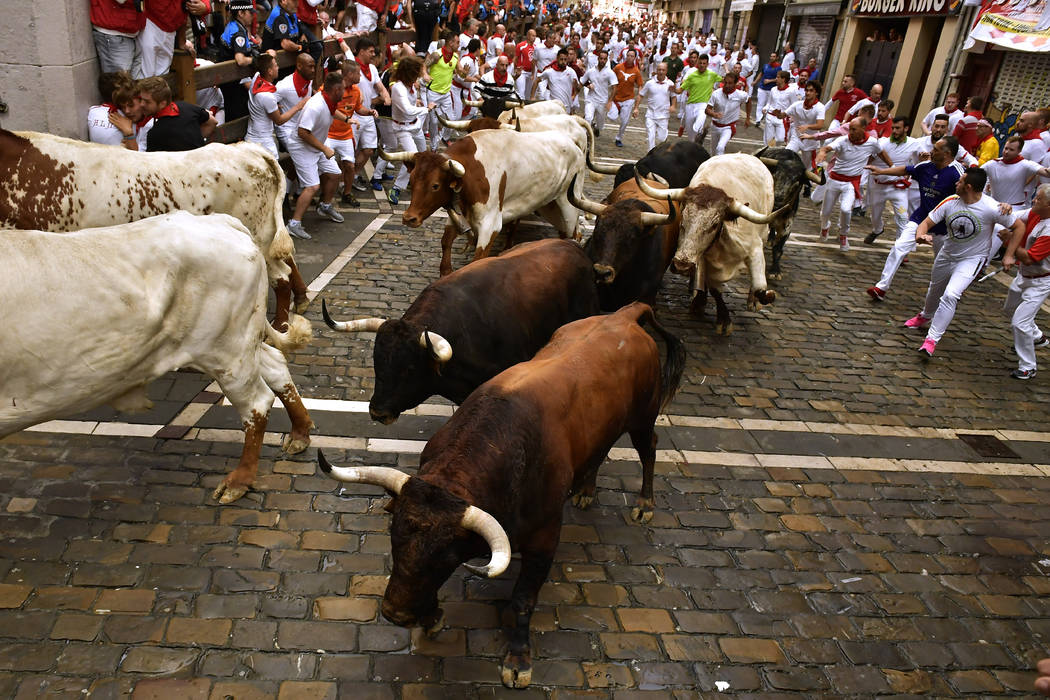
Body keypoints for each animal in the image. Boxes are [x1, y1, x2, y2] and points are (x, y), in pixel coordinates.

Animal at [0, 211, 312, 503]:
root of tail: (219, 221)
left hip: (228, 352)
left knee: (256, 403)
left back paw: (239, 481)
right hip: (240, 342)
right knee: (275, 365)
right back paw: (299, 433)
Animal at [315, 302, 684, 688]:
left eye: (445, 556)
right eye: (394, 537)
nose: (395, 613)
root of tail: (626, 314)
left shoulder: (544, 539)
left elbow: (522, 600)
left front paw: (518, 659)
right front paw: (431, 617)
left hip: (643, 416)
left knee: (649, 448)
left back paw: (644, 503)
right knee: (600, 451)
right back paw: (585, 490)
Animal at [630, 154, 789, 335]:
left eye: (714, 224)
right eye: (683, 218)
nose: (682, 265)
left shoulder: (754, 249)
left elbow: (760, 288)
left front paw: (758, 299)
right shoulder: (705, 260)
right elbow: (715, 290)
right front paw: (723, 319)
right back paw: (698, 302)